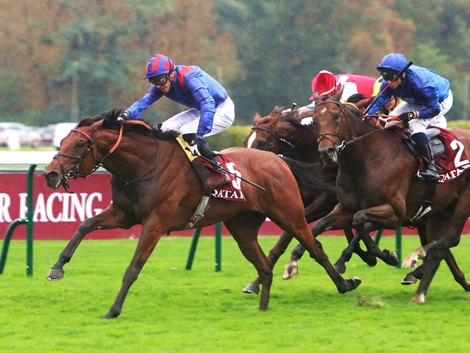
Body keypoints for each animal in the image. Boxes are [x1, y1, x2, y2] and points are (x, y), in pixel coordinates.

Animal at [43, 108, 360, 318]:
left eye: (80, 144)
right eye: (62, 142)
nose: (50, 174)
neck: (143, 164)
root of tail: (278, 159)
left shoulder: (156, 222)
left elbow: (133, 268)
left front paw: (113, 309)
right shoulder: (124, 213)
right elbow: (85, 225)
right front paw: (57, 267)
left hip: (290, 214)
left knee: (314, 247)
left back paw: (345, 284)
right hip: (242, 227)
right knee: (264, 266)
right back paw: (262, 306)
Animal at [242, 106, 378, 292]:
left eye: (262, 142)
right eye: (246, 142)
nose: (248, 163)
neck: (314, 158)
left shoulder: (325, 201)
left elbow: (290, 234)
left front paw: (291, 262)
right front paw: (256, 282)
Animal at [310, 95, 470, 302]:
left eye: (336, 116)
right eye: (314, 121)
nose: (326, 152)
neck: (367, 158)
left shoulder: (396, 212)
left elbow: (360, 221)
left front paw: (387, 256)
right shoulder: (346, 209)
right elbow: (325, 226)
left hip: (463, 202)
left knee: (452, 238)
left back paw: (415, 261)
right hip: (441, 210)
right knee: (441, 243)